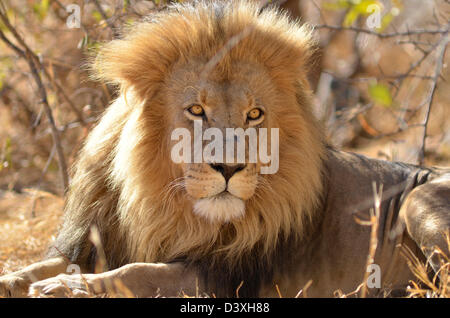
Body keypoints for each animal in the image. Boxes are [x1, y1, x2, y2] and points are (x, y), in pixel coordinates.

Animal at [0, 0, 450, 298]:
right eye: (197, 110)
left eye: (254, 114)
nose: (230, 168)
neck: (157, 203)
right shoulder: (92, 239)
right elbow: (36, 266)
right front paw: (18, 281)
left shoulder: (220, 275)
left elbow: (137, 272)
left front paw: (66, 286)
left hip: (419, 197)